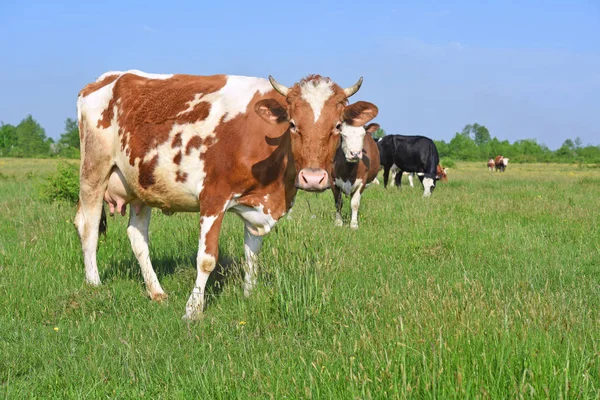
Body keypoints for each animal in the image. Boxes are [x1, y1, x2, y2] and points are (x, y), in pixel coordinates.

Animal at [74, 69, 376, 318]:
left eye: (337, 126)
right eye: (292, 124)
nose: (313, 178)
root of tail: (106, 78)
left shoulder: (259, 207)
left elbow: (252, 254)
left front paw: (249, 295)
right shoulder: (213, 197)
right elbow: (206, 259)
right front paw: (193, 310)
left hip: (140, 184)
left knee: (138, 238)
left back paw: (156, 292)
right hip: (93, 171)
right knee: (88, 226)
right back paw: (94, 283)